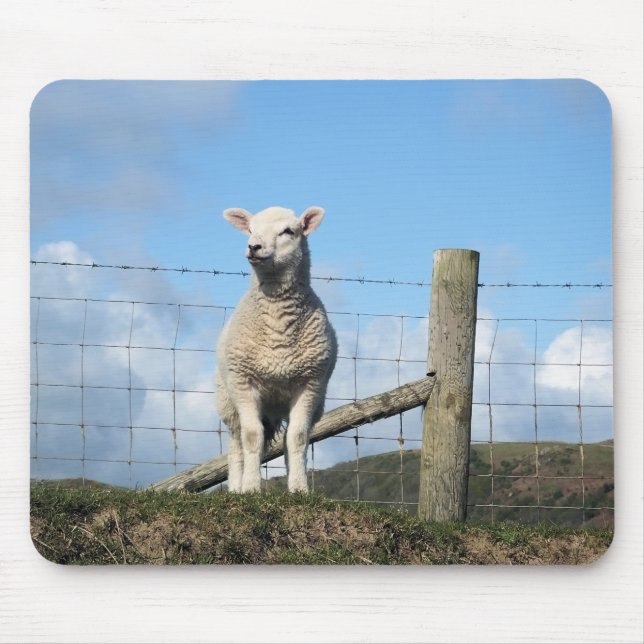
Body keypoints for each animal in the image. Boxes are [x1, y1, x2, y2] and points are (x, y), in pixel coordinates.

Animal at [216, 206, 337, 493]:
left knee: (285, 439)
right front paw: (250, 488)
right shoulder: (243, 382)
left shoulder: (310, 383)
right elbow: (251, 437)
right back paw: (236, 487)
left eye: (288, 231)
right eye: (250, 229)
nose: (253, 246)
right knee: (236, 445)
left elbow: (298, 438)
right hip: (228, 400)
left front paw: (299, 489)